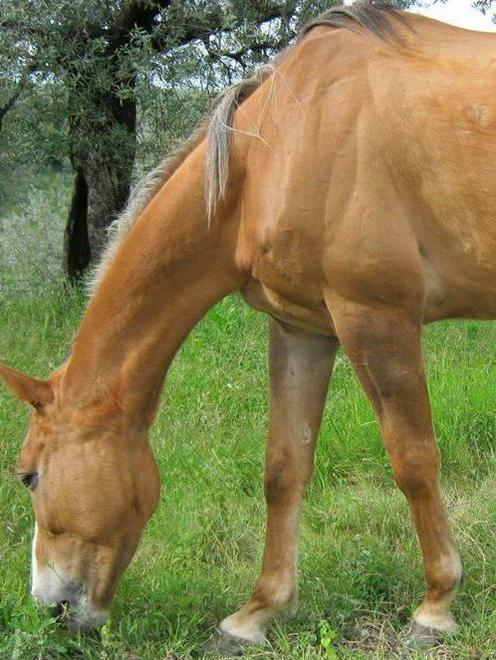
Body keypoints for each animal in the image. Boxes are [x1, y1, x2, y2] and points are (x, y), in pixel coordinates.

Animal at [2, 1, 496, 652]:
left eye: (29, 476)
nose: (51, 607)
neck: (275, 151)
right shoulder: (302, 328)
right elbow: (284, 468)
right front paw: (258, 612)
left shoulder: (376, 318)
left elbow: (413, 461)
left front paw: (435, 605)